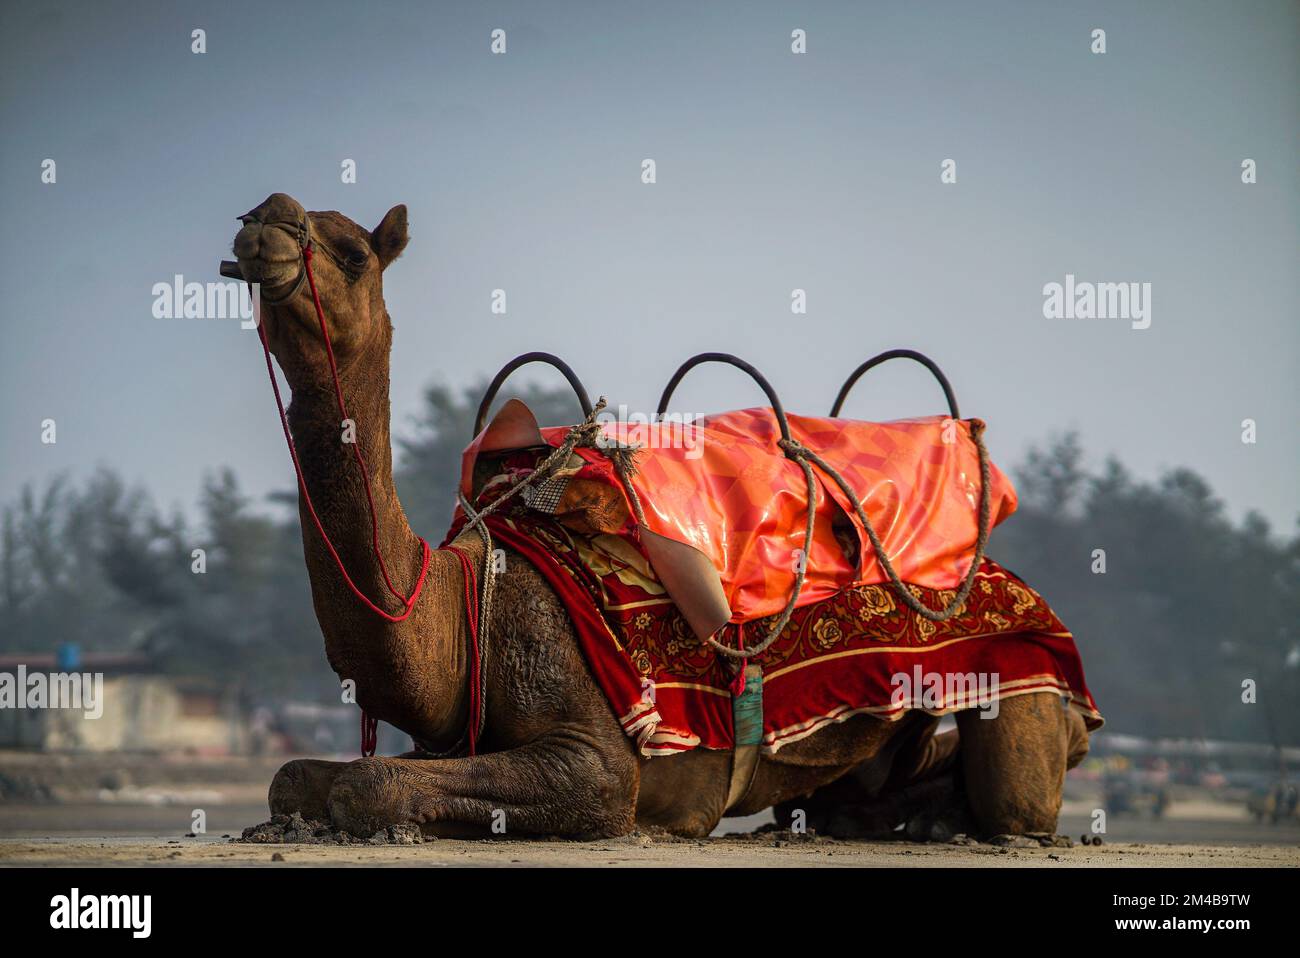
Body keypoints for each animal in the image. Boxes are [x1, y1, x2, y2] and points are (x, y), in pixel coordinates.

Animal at [225, 192, 1091, 840]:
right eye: (263, 215)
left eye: (351, 252)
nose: (266, 220)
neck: (461, 607)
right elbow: (290, 778)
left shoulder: (596, 761)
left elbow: (369, 785)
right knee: (853, 793)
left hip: (1017, 668)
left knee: (1015, 799)